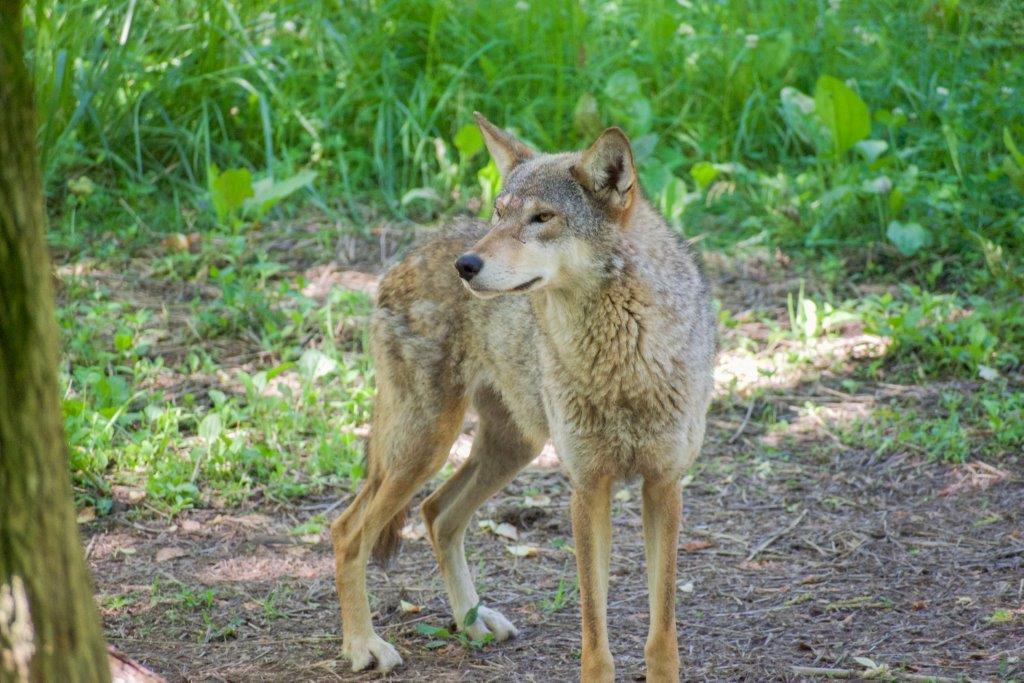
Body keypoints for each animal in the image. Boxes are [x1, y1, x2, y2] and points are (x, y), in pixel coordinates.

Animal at [330, 113, 716, 681]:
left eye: (542, 218)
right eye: (500, 213)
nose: (466, 265)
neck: (622, 357)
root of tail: (414, 250)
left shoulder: (664, 485)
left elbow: (661, 630)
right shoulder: (587, 489)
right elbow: (594, 629)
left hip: (511, 449)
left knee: (437, 515)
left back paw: (471, 623)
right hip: (424, 448)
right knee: (348, 531)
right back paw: (363, 645)